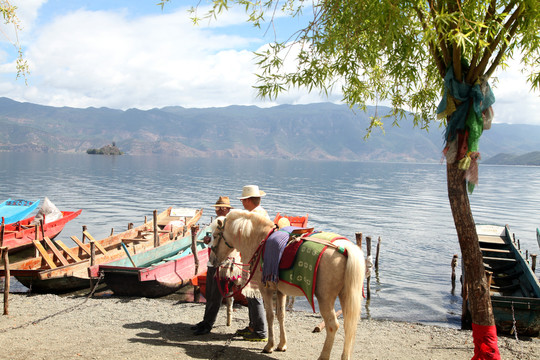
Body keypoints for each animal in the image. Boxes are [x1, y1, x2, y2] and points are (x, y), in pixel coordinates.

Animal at [209, 210, 364, 360]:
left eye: (215, 236)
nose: (212, 260)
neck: (260, 240)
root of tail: (344, 249)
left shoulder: (265, 289)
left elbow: (270, 315)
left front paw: (269, 346)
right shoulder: (280, 291)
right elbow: (281, 315)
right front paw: (282, 345)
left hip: (325, 298)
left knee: (332, 325)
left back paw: (323, 356)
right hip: (345, 296)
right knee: (349, 326)